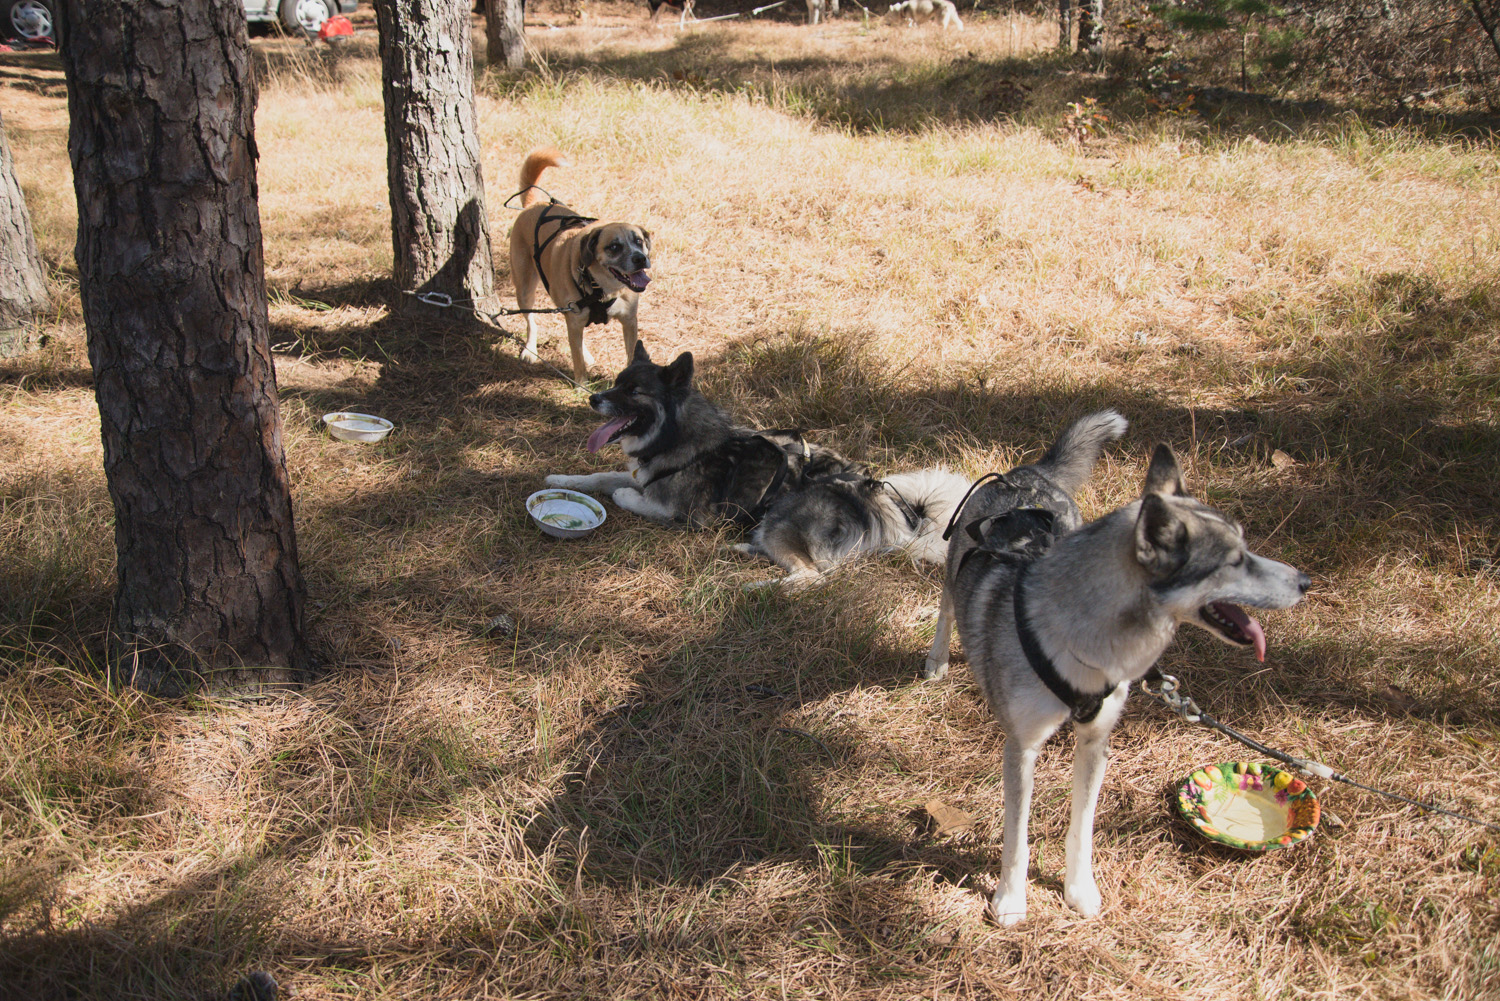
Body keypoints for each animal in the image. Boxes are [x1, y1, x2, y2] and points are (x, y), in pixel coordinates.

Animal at [510, 147, 651, 381]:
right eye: (614, 247)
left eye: (638, 241)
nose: (640, 259)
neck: (602, 289)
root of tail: (535, 204)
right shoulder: (574, 320)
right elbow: (576, 362)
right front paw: (581, 384)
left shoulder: (629, 320)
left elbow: (631, 354)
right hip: (524, 289)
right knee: (531, 322)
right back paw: (530, 350)